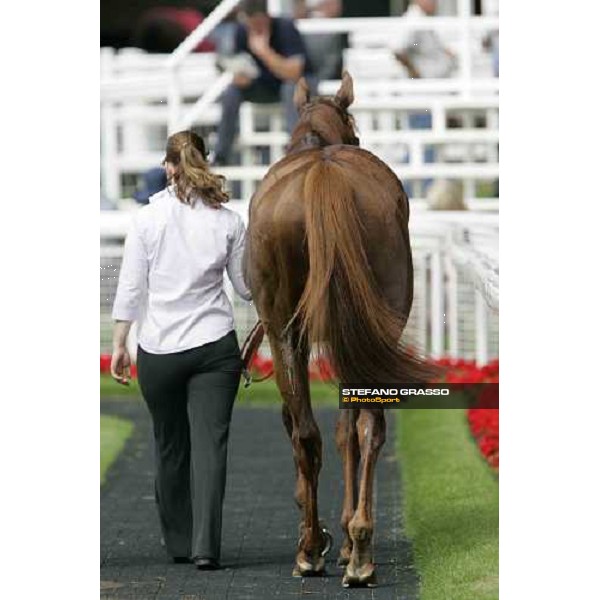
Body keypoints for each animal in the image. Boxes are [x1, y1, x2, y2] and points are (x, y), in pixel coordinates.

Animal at [241, 70, 434, 584]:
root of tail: (323, 173)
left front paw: (332, 537)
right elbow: (348, 428)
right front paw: (345, 537)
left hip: (286, 330)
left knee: (313, 432)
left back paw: (318, 547)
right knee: (364, 428)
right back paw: (358, 547)